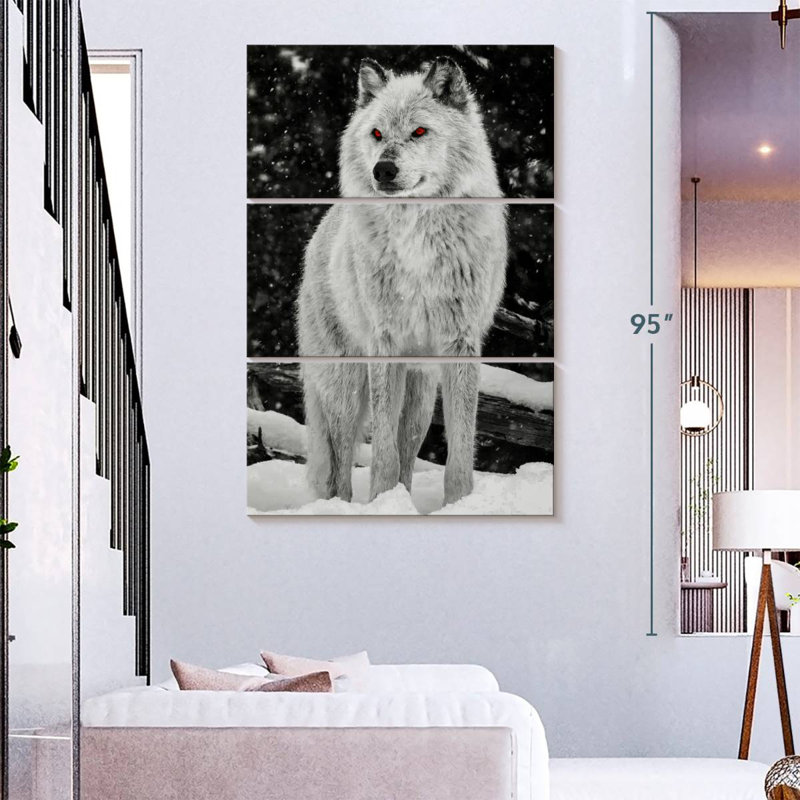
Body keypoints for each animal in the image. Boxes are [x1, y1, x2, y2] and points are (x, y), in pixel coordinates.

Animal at [297, 56, 508, 507]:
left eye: (419, 132)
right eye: (377, 134)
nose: (384, 170)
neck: (418, 236)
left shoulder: (459, 344)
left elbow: (459, 452)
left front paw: (458, 505)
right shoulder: (385, 342)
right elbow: (382, 454)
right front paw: (381, 500)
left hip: (421, 392)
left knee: (407, 443)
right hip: (345, 387)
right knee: (341, 463)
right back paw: (344, 507)